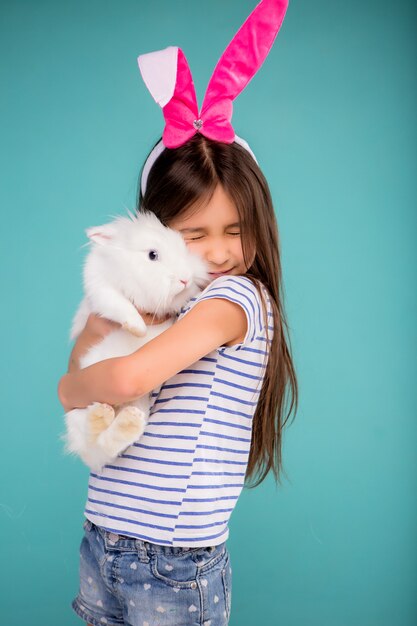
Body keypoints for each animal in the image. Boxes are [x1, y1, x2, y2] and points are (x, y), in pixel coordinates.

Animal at [63, 207, 210, 470]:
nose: (185, 279)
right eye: (152, 255)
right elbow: (120, 305)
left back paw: (126, 421)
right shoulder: (101, 289)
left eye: (184, 247)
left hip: (138, 404)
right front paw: (138, 329)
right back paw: (101, 416)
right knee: (93, 436)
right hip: (78, 409)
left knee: (109, 442)